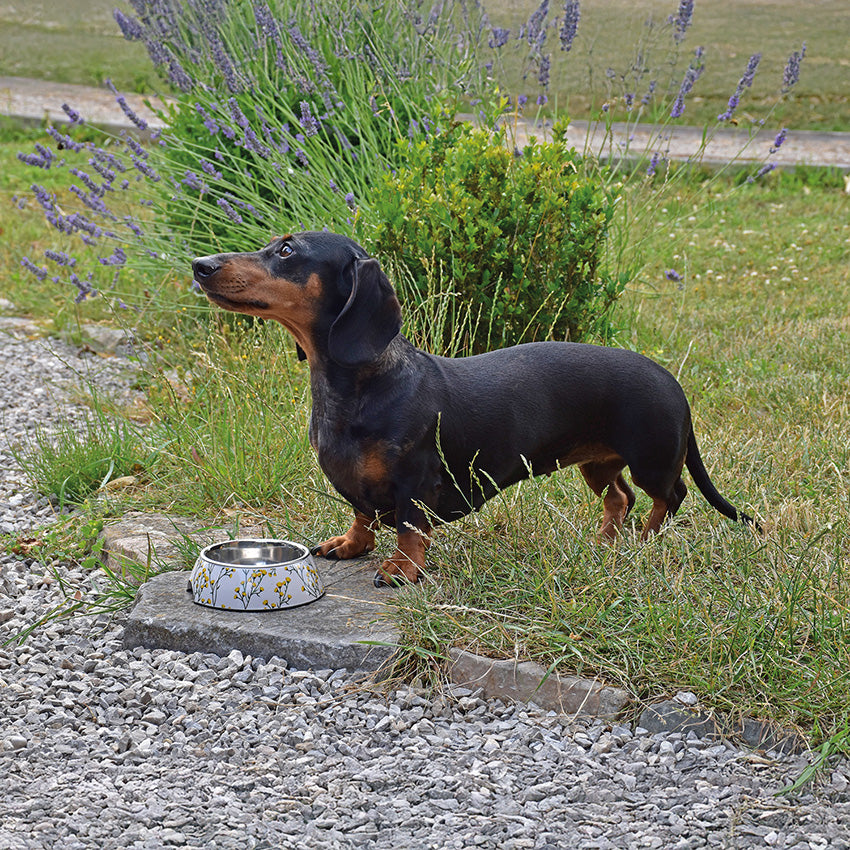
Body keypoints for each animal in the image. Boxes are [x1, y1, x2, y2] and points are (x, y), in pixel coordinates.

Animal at [192, 227, 756, 584]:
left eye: (287, 251)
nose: (201, 265)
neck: (360, 387)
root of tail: (673, 383)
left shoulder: (414, 482)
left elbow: (408, 527)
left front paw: (402, 569)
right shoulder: (358, 485)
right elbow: (361, 514)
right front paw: (350, 545)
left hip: (653, 459)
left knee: (670, 496)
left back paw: (643, 539)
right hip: (596, 463)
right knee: (619, 496)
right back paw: (604, 542)